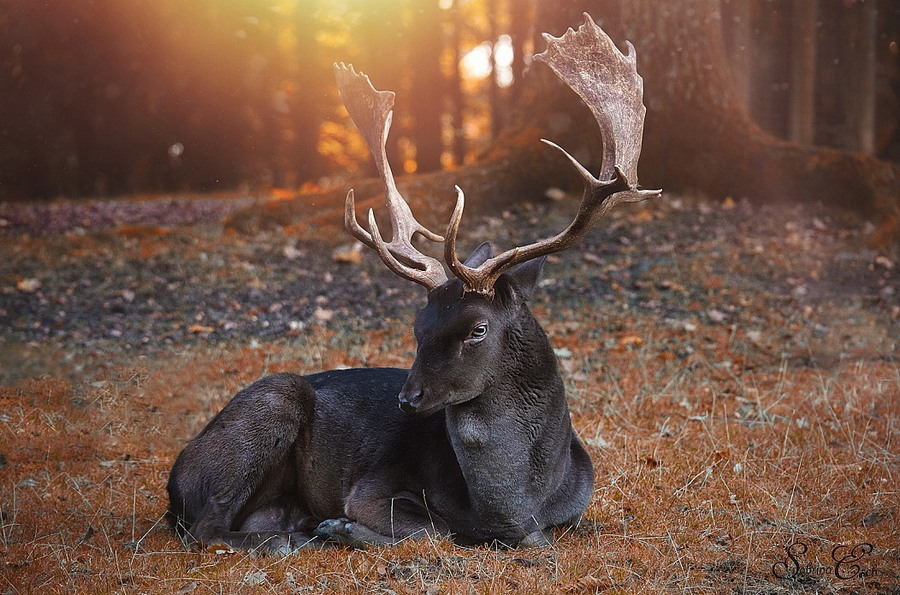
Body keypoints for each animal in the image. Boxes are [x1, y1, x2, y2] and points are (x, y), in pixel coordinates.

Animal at [167, 14, 660, 556]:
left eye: (477, 329)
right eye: (417, 326)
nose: (408, 399)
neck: (518, 507)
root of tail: (173, 482)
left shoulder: (573, 511)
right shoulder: (371, 487)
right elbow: (434, 528)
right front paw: (340, 527)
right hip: (269, 405)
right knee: (206, 524)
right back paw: (289, 537)